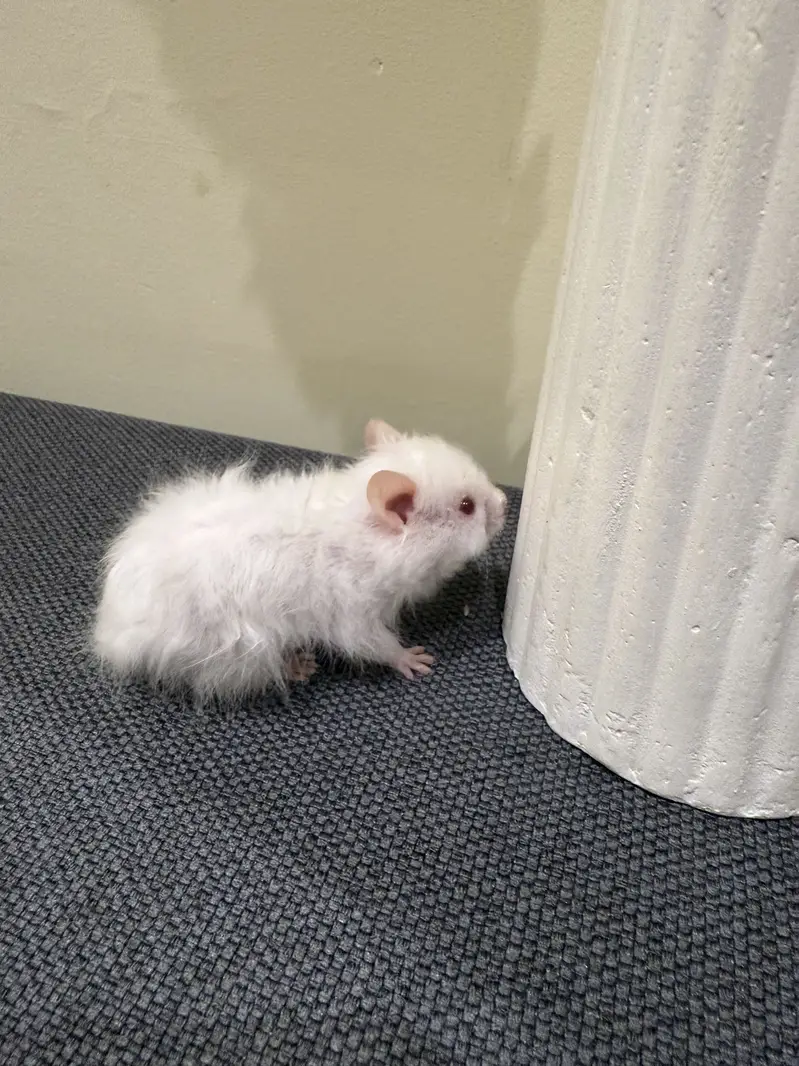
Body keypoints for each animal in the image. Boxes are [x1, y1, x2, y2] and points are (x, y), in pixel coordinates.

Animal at [93, 418, 507, 700]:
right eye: (466, 507)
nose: (505, 502)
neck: (364, 532)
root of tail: (112, 631)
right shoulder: (352, 611)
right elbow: (373, 645)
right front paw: (414, 659)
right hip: (240, 654)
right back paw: (299, 666)